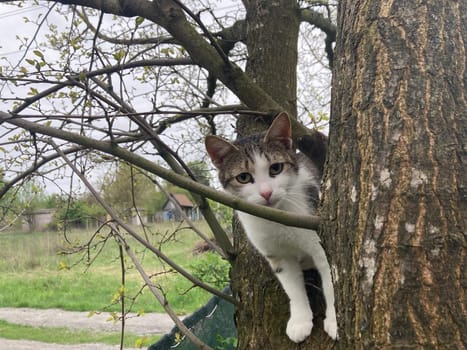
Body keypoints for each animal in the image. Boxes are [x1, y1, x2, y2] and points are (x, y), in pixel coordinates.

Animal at [207, 113, 338, 344]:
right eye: (243, 177)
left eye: (276, 168)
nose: (266, 193)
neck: (277, 218)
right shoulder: (277, 255)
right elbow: (293, 288)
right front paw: (300, 322)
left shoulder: (321, 244)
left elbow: (331, 283)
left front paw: (335, 321)